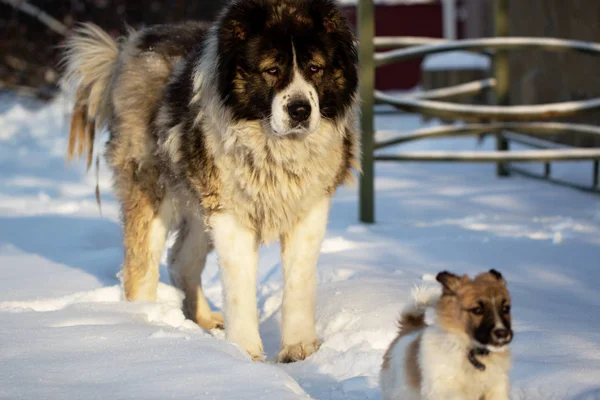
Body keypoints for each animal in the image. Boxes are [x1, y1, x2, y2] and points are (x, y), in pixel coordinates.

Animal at [62, 0, 356, 362]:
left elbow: (299, 280)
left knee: (180, 262)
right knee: (141, 268)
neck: (273, 149)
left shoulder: (309, 209)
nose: (300, 110)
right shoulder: (229, 213)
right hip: (153, 190)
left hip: (197, 205)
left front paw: (299, 348)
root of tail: (128, 48)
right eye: (272, 70)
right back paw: (143, 327)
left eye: (315, 68)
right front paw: (245, 354)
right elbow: (239, 285)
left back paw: (201, 320)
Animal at [382, 270, 512, 398]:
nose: (502, 333)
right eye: (478, 310)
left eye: (505, 308)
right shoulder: (446, 390)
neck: (470, 352)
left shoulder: (496, 389)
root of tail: (410, 327)